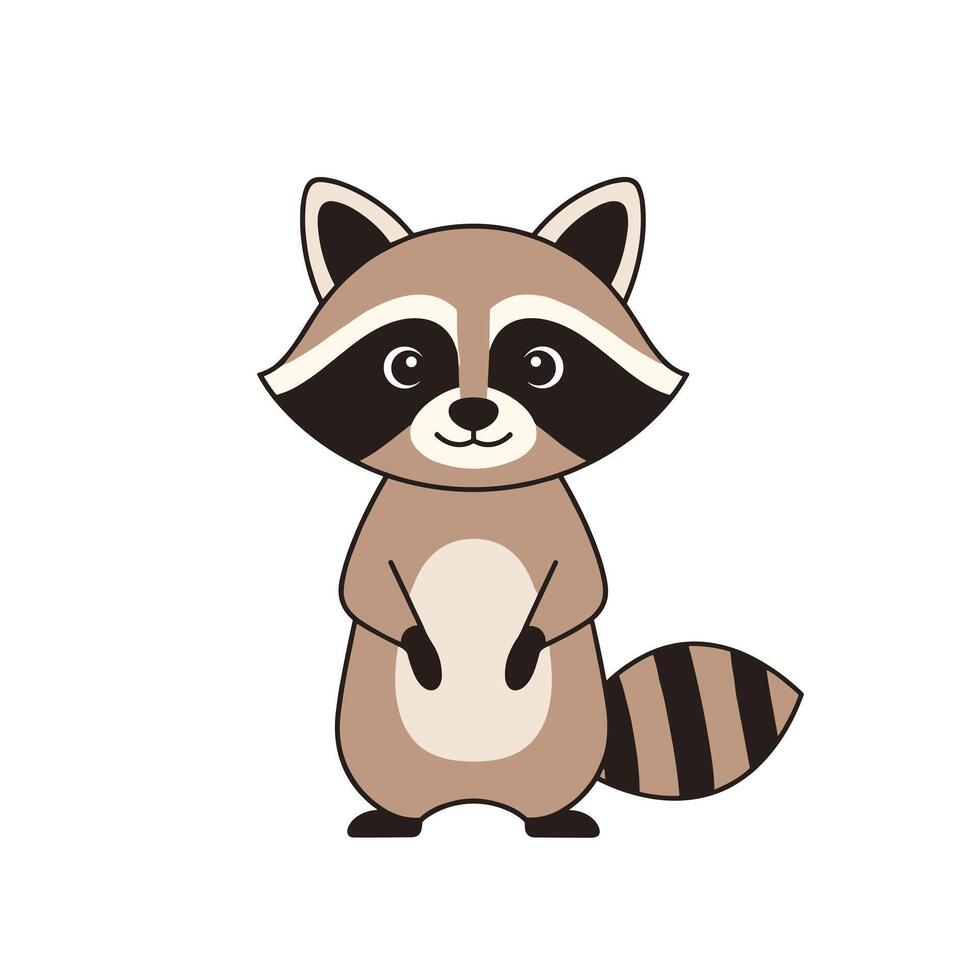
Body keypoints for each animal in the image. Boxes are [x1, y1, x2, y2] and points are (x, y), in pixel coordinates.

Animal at [261, 178, 802, 837]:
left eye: (540, 364)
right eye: (406, 364)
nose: (473, 411)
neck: (474, 495)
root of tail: (472, 795)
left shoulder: (561, 521)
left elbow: (582, 591)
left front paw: (526, 645)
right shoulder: (384, 521)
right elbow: (363, 591)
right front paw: (419, 644)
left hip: (571, 734)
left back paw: (552, 820)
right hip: (371, 738)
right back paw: (395, 818)